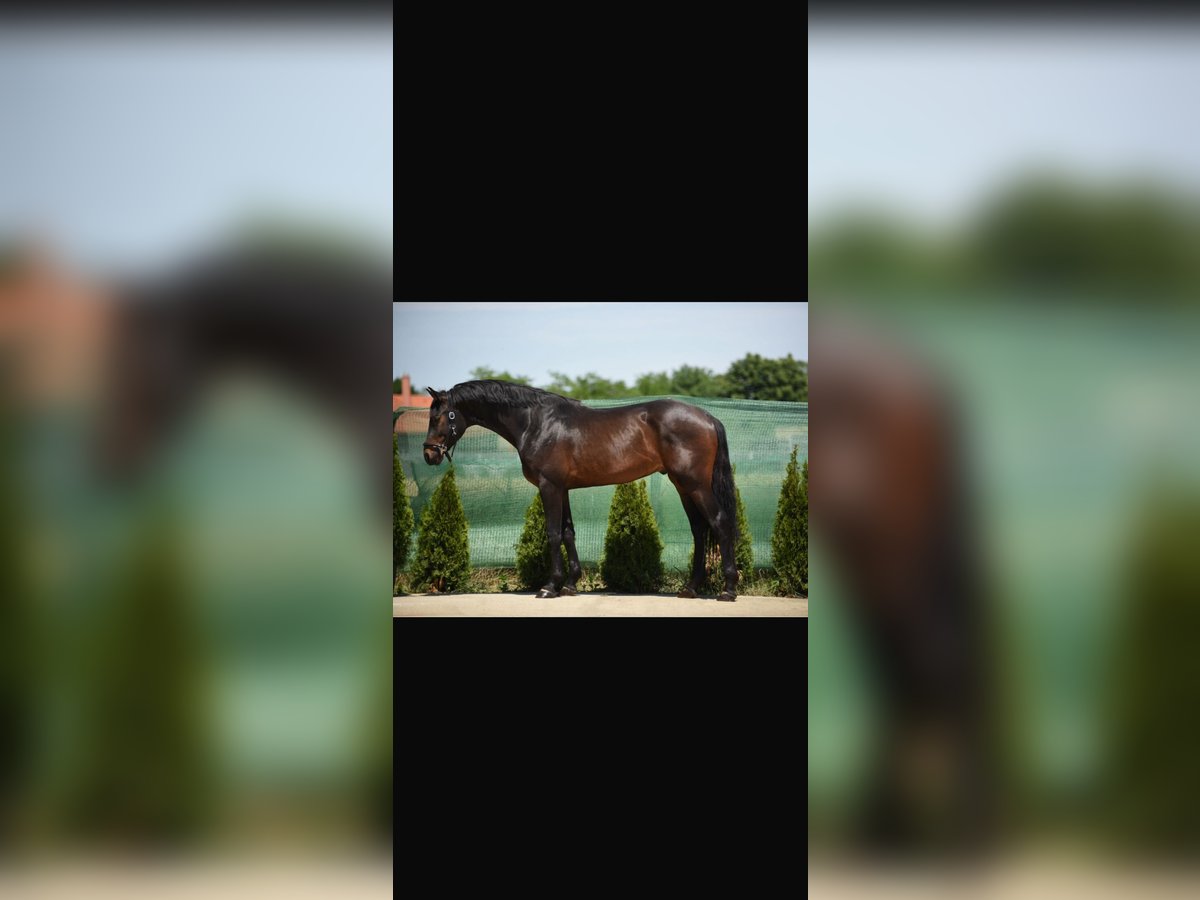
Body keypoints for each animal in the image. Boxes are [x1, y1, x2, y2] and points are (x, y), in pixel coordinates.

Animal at [420, 380, 740, 600]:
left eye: (440, 417)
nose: (429, 454)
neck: (536, 422)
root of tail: (708, 418)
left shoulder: (549, 486)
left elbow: (552, 533)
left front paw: (549, 587)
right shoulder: (562, 489)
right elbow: (568, 532)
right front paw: (571, 584)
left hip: (695, 484)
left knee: (720, 523)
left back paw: (728, 589)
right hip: (683, 485)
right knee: (699, 529)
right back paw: (691, 588)